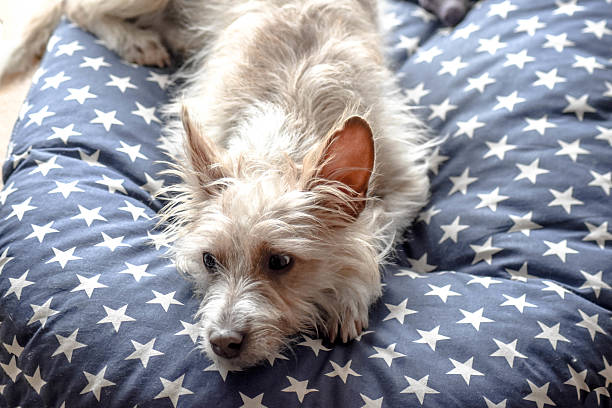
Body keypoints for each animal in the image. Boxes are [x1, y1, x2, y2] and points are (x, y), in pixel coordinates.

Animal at [3, 0, 436, 370]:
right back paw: (137, 40)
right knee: (77, 10)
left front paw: (348, 296)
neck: (286, 134)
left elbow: (375, 231)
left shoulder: (408, 183)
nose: (223, 342)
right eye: (209, 260)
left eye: (280, 262)